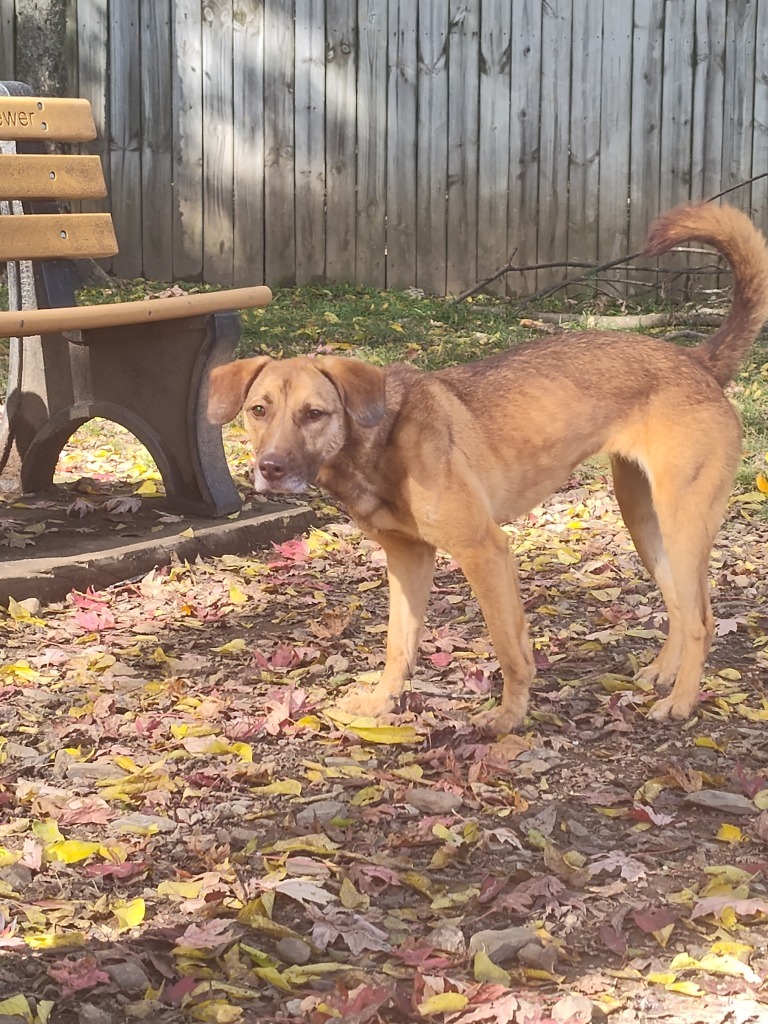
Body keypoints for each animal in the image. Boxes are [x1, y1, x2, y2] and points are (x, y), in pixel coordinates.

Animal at [207, 205, 768, 737]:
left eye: (314, 414)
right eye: (258, 410)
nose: (270, 468)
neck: (380, 444)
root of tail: (699, 361)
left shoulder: (485, 551)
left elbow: (508, 647)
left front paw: (508, 718)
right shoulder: (408, 559)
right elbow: (398, 645)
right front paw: (382, 703)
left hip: (682, 520)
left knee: (702, 620)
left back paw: (681, 702)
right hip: (643, 518)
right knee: (681, 605)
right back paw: (665, 673)